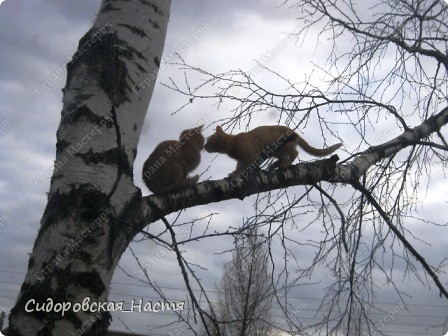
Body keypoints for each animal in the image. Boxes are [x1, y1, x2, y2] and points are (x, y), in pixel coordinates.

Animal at [205, 125, 342, 177]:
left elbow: (244, 167)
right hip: (276, 152)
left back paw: (284, 165)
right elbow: (241, 165)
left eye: (209, 142)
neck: (234, 143)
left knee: (294, 153)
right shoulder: (245, 159)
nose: (204, 147)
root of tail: (294, 132)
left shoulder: (251, 156)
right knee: (283, 158)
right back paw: (273, 166)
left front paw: (236, 174)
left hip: (283, 146)